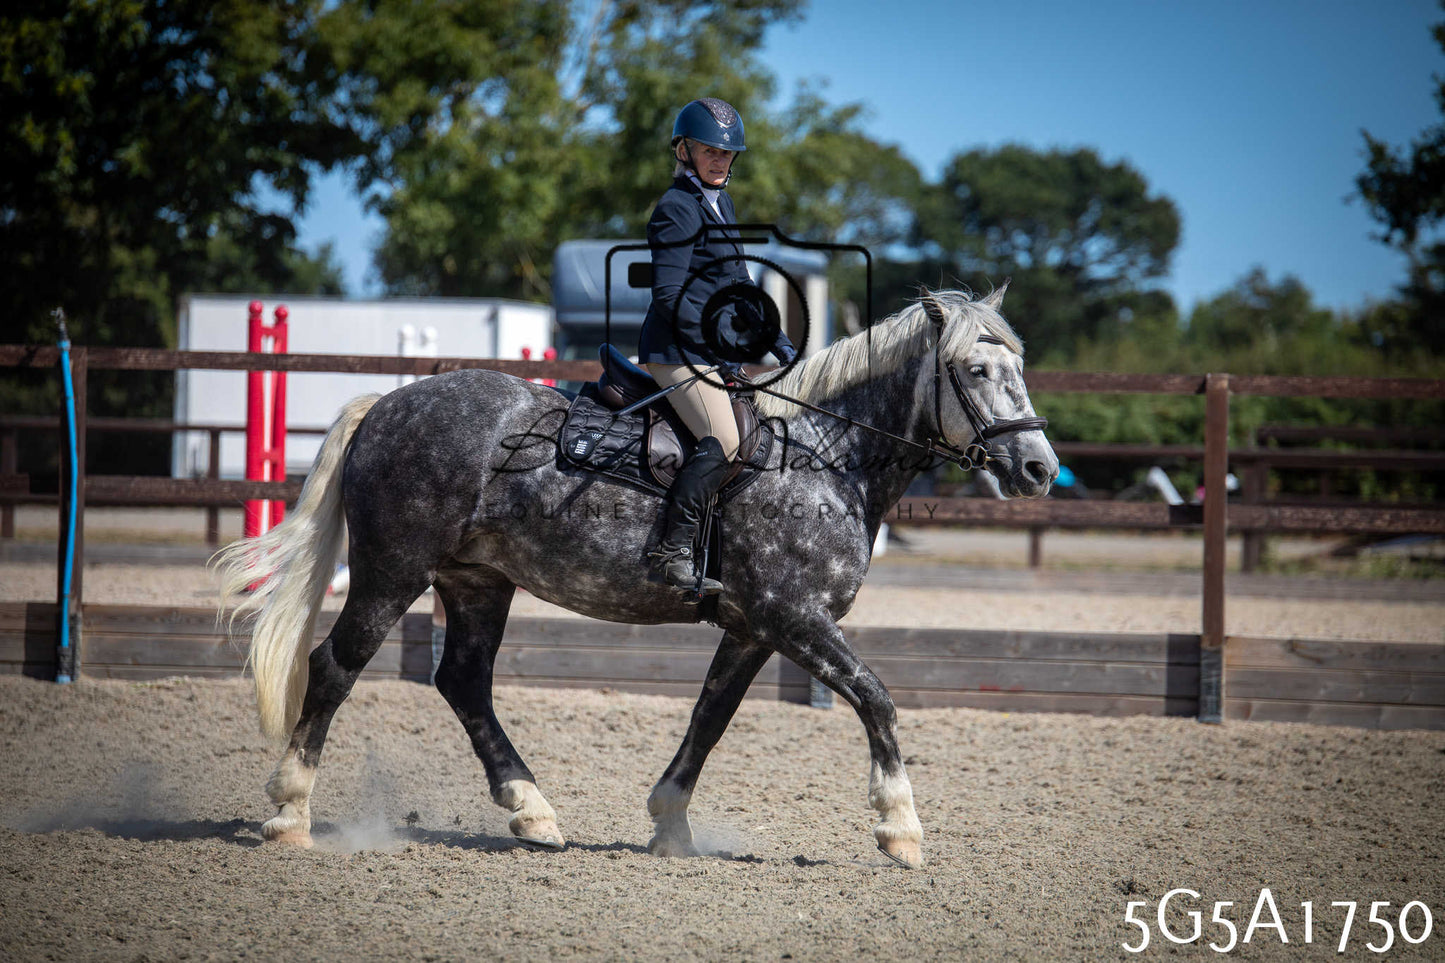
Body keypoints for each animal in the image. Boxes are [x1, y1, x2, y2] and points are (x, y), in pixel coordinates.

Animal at [215, 285, 1059, 869]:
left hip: (477, 580)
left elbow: (709, 717)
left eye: (1018, 368)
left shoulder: (754, 628)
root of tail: (389, 403)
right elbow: (876, 698)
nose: (1038, 467)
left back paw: (532, 811)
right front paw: (899, 828)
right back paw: (289, 813)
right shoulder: (795, 617)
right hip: (391, 572)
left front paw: (670, 822)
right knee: (334, 667)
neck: (826, 454)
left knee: (462, 682)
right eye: (975, 369)